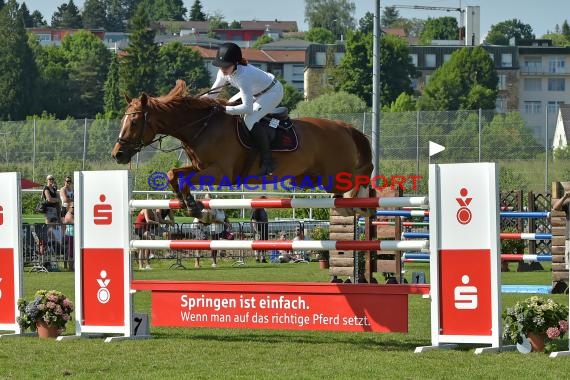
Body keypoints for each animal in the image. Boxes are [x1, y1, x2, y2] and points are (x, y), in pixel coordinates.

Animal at [111, 80, 372, 217]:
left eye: (134, 122)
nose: (117, 154)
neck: (202, 126)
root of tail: (344, 126)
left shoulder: (221, 173)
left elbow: (185, 179)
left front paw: (193, 206)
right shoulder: (199, 166)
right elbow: (173, 174)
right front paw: (185, 202)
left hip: (334, 176)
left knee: (361, 177)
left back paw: (363, 202)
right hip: (319, 177)